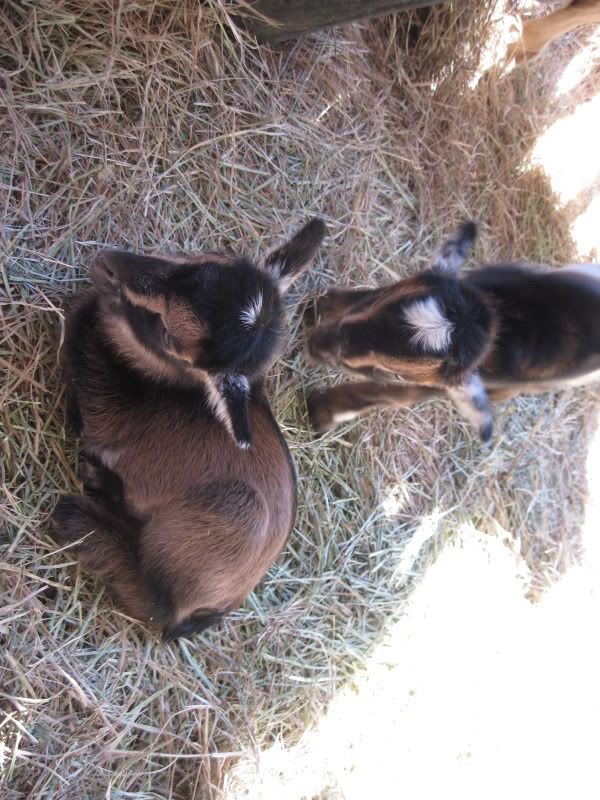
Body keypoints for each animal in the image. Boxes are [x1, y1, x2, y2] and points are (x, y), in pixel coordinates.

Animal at [52, 219, 326, 640]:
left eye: (168, 334)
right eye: (205, 259)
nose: (108, 265)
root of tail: (229, 602)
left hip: (231, 515)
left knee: (158, 608)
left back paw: (78, 515)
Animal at [306, 222, 600, 442]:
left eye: (395, 373)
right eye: (380, 300)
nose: (316, 345)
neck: (507, 325)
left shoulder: (431, 386)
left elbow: (379, 394)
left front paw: (319, 414)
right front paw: (316, 307)